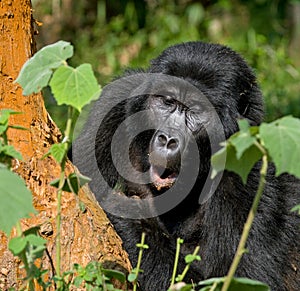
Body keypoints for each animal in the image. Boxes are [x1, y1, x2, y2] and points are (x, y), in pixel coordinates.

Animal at [73, 42, 300, 291]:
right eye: (167, 102)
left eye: (195, 110)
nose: (167, 139)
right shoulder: (117, 100)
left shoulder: (248, 169)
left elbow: (241, 279)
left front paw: (128, 215)